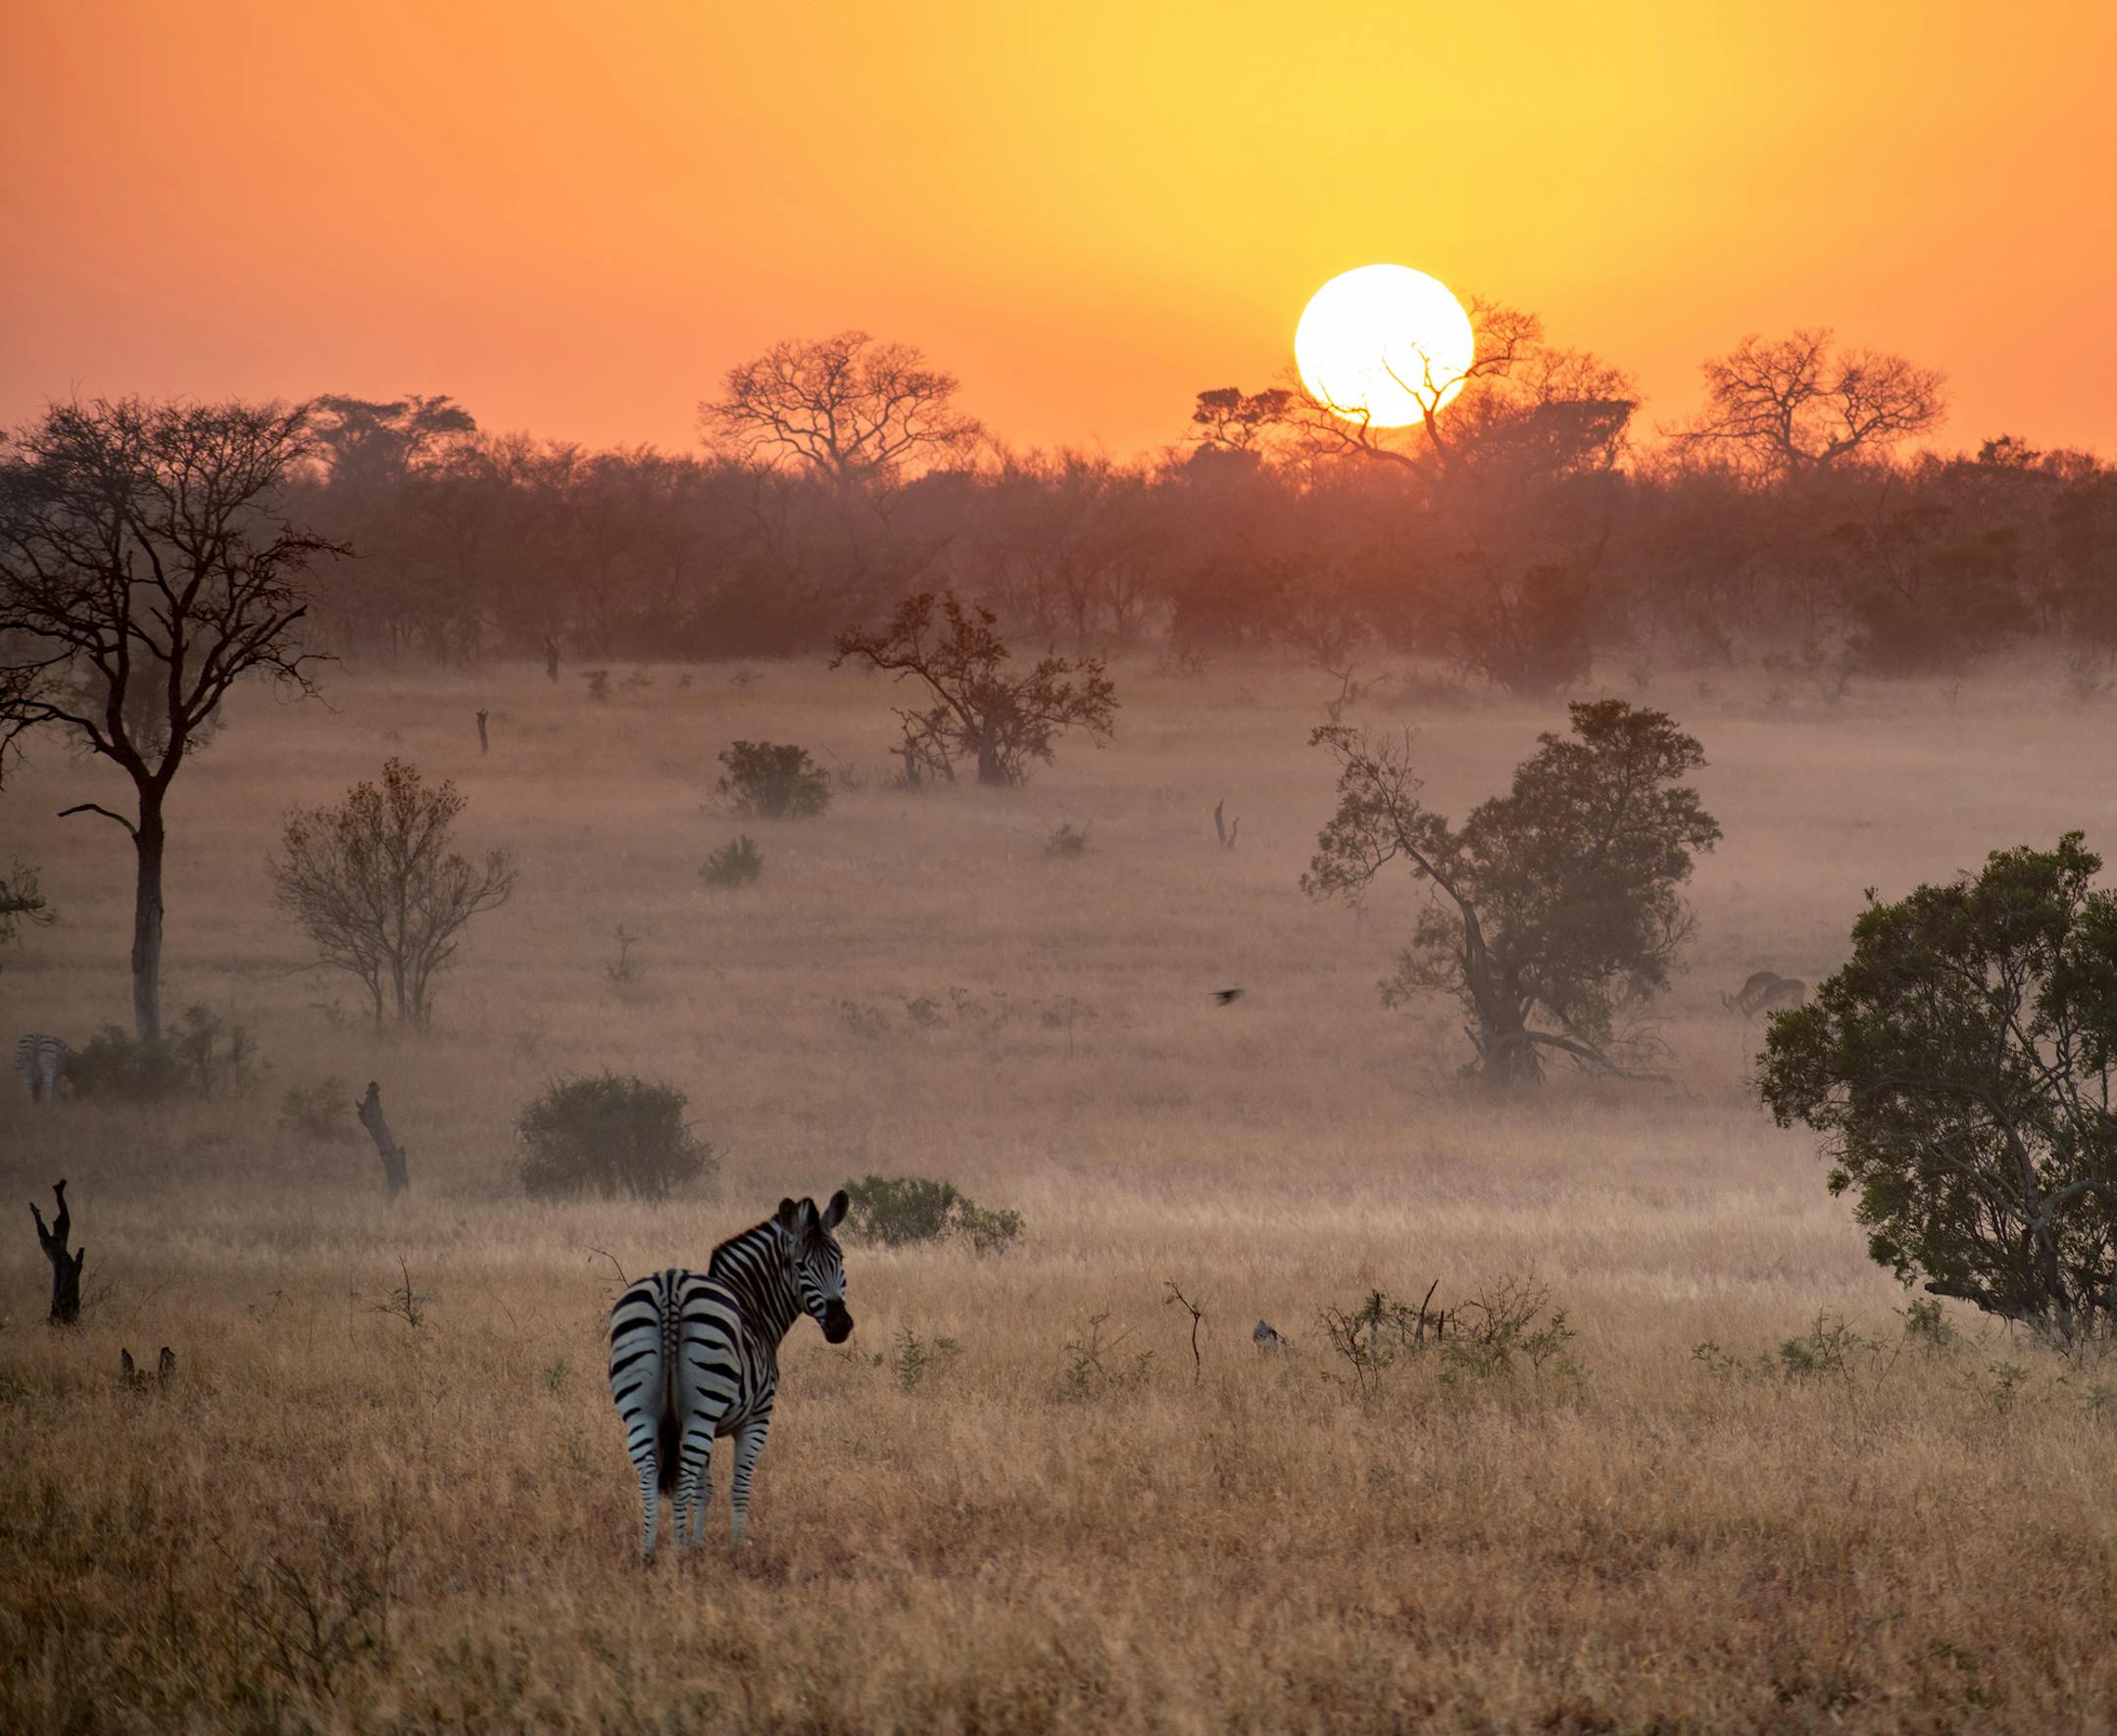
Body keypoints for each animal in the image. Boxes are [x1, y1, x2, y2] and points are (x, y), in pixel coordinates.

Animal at [607, 1191, 852, 1558]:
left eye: (839, 1259)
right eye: (800, 1266)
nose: (840, 1326)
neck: (754, 1306)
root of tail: (670, 1286)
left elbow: (705, 1488)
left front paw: (698, 1542)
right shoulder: (757, 1416)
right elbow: (738, 1484)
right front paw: (735, 1546)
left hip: (639, 1408)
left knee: (649, 1473)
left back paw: (649, 1551)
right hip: (703, 1409)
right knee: (683, 1476)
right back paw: (678, 1554)